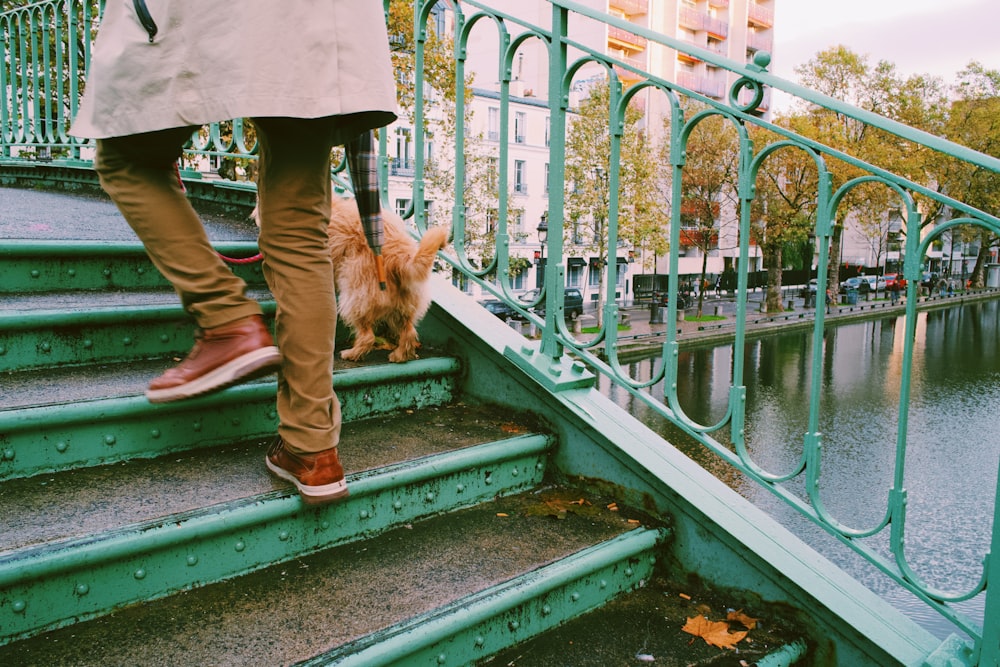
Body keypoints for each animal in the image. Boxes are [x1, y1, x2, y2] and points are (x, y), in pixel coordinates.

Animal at [328, 197, 450, 362]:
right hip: (402, 305)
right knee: (408, 331)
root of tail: (397, 252)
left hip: (355, 297)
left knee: (368, 336)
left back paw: (352, 354)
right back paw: (400, 356)